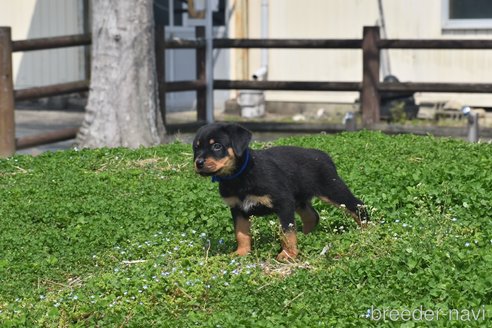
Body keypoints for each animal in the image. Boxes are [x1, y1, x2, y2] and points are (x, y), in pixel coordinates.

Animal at [192, 123, 368, 262]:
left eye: (217, 146)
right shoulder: (237, 208)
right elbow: (241, 233)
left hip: (332, 189)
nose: (198, 163)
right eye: (196, 148)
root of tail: (323, 155)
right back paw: (306, 236)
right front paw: (241, 252)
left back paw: (367, 230)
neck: (239, 177)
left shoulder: (283, 203)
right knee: (312, 216)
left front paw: (288, 254)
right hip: (299, 199)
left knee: (358, 205)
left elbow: (287, 232)